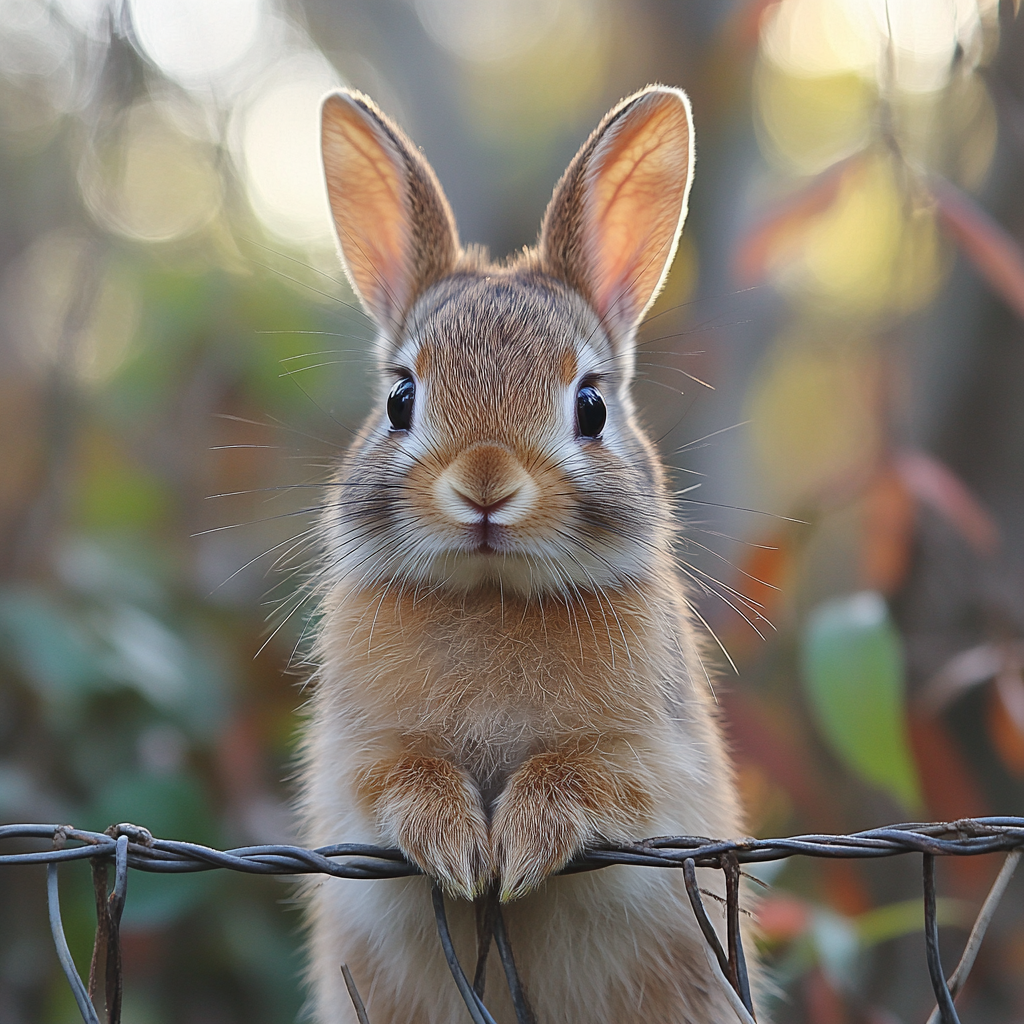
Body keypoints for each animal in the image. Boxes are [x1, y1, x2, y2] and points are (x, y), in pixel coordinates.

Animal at [298, 84, 753, 1024]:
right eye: (401, 399)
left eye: (590, 406)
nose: (485, 483)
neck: (491, 592)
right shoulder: (354, 762)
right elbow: (399, 776)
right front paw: (457, 845)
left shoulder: (652, 760)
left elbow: (587, 776)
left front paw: (521, 843)